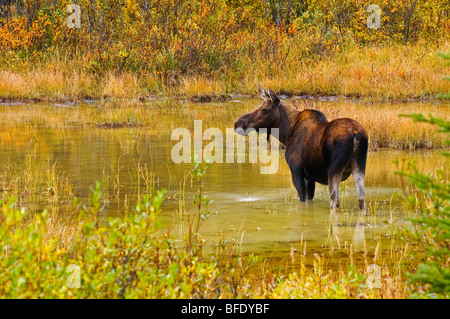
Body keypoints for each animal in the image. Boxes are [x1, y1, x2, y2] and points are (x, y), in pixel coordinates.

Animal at [234, 84, 368, 210]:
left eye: (264, 109)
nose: (238, 123)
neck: (286, 133)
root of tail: (356, 134)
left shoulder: (296, 170)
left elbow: (303, 200)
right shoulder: (310, 177)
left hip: (333, 170)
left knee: (335, 202)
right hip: (359, 167)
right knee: (362, 200)